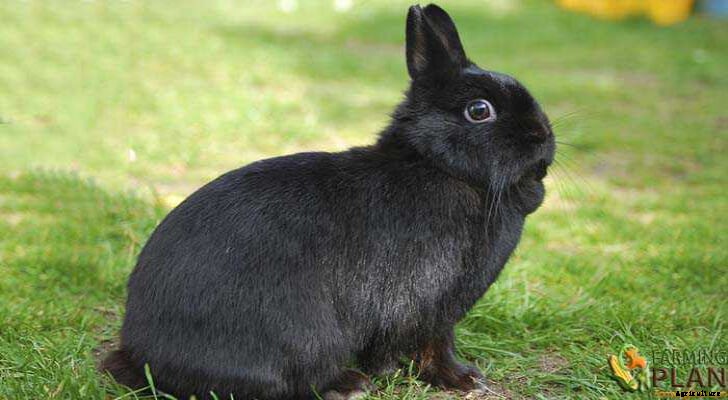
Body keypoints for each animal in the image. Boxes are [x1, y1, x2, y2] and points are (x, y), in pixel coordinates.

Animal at [101, 3, 555, 400]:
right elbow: (428, 345)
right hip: (306, 337)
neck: (438, 166)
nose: (542, 137)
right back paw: (347, 384)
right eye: (480, 110)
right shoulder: (427, 302)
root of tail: (143, 357)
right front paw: (455, 378)